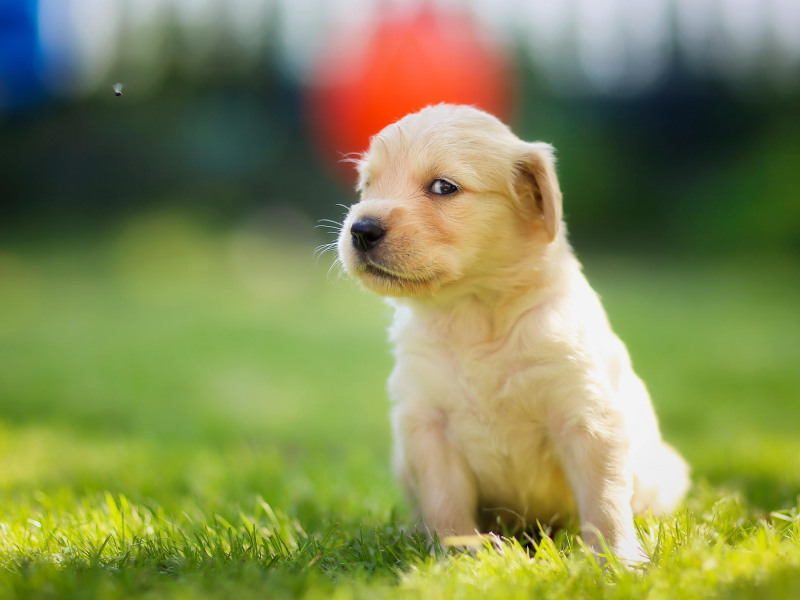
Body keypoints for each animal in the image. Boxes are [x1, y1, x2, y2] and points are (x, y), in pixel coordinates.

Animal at [334, 104, 692, 564]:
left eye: (443, 186)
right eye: (366, 185)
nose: (361, 229)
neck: (474, 315)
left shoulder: (587, 418)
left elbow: (605, 502)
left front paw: (617, 560)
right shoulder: (426, 423)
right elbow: (444, 500)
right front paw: (460, 554)